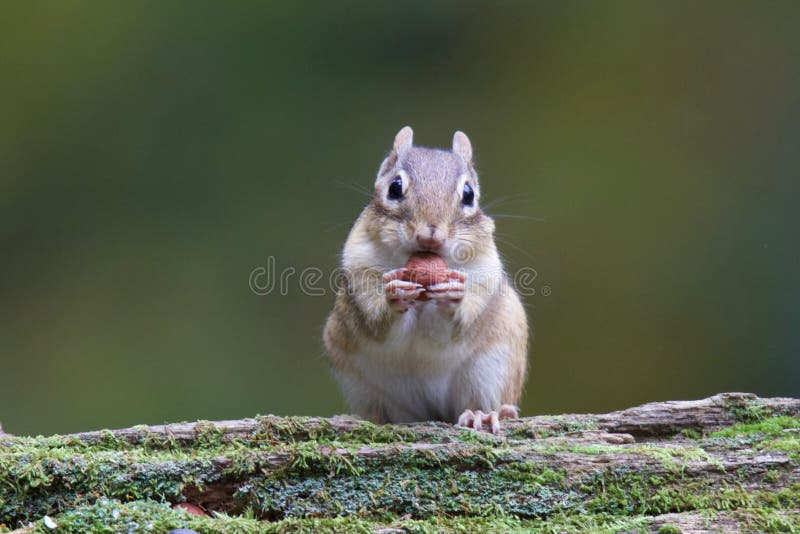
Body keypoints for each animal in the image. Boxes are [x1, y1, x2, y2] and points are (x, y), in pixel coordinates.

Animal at [323, 126, 528, 433]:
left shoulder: (483, 278)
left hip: (491, 369)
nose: (430, 235)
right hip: (360, 382)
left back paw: (483, 414)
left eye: (469, 194)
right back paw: (362, 418)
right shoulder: (361, 276)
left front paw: (453, 297)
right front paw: (394, 296)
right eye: (395, 187)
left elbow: (451, 325)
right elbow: (378, 323)